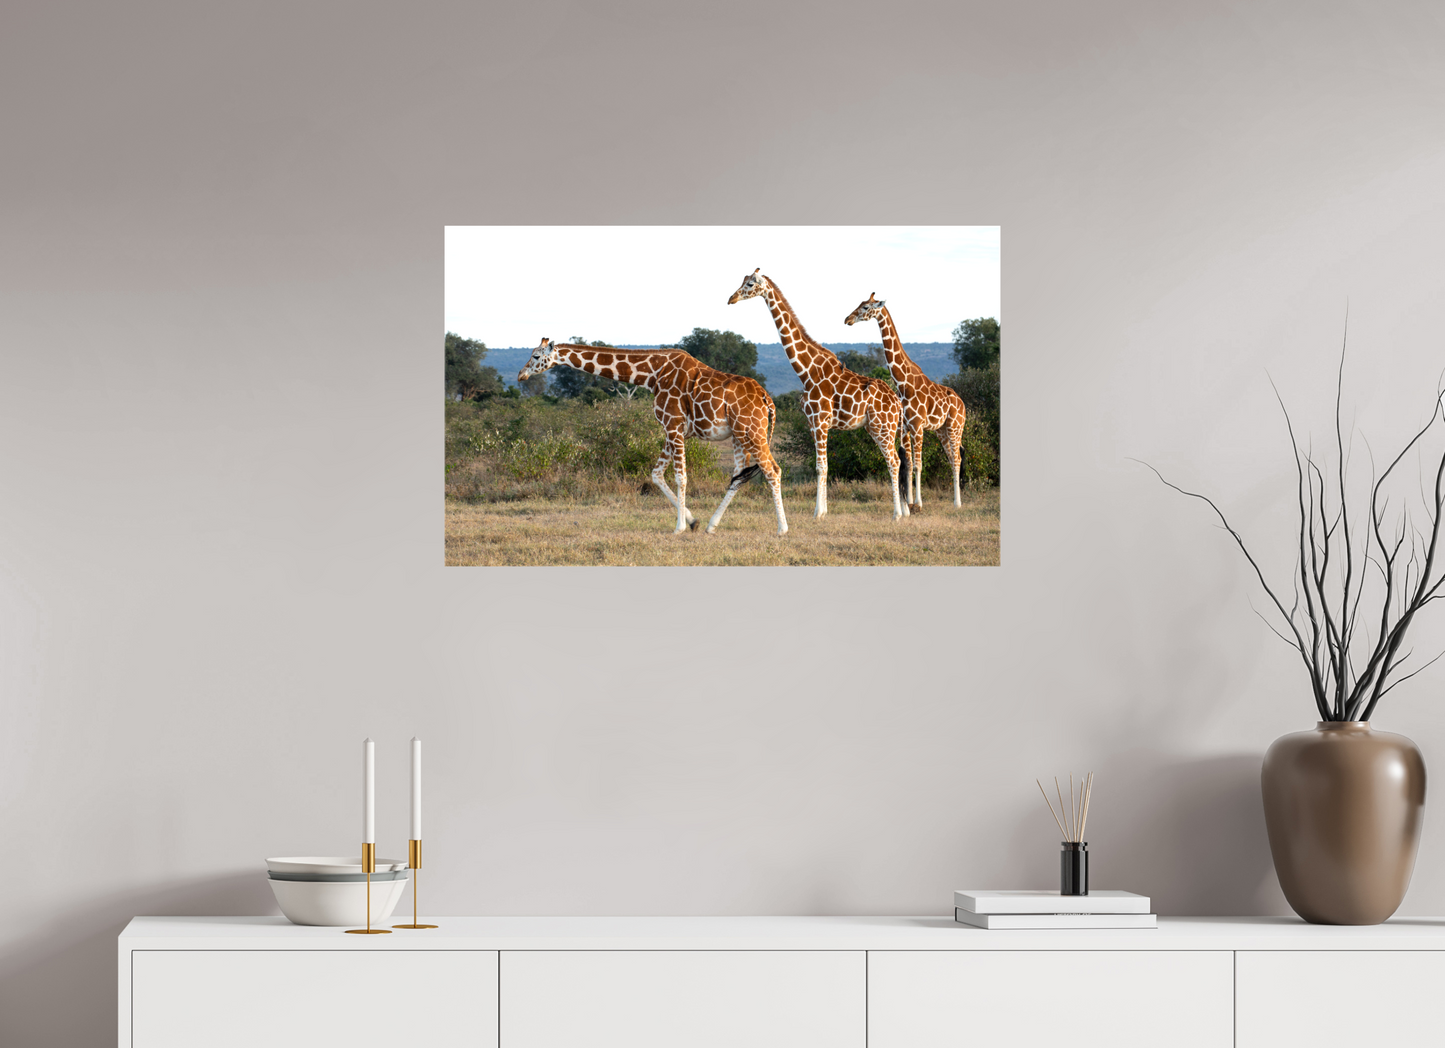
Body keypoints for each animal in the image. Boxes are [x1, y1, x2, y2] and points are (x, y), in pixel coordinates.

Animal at [518, 339, 788, 536]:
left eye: (536, 356)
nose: (521, 375)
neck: (651, 374)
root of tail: (767, 399)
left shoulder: (673, 425)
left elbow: (681, 477)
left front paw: (679, 528)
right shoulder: (672, 430)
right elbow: (656, 474)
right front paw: (693, 522)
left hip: (752, 431)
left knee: (772, 470)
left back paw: (782, 529)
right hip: (738, 435)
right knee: (739, 476)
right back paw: (712, 526)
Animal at [728, 270, 906, 521]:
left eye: (751, 284)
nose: (731, 298)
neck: (806, 370)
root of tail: (897, 402)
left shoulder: (820, 420)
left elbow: (821, 466)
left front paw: (818, 513)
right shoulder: (813, 422)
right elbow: (823, 465)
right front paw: (823, 510)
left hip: (884, 427)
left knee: (894, 461)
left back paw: (897, 514)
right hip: (876, 428)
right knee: (896, 460)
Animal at [844, 293, 968, 508]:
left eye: (866, 307)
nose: (847, 319)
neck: (903, 383)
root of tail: (962, 404)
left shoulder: (917, 425)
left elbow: (918, 465)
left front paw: (918, 503)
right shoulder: (904, 427)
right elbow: (908, 463)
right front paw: (908, 502)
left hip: (955, 426)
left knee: (957, 459)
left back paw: (957, 503)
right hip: (942, 430)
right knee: (952, 458)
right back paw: (955, 500)